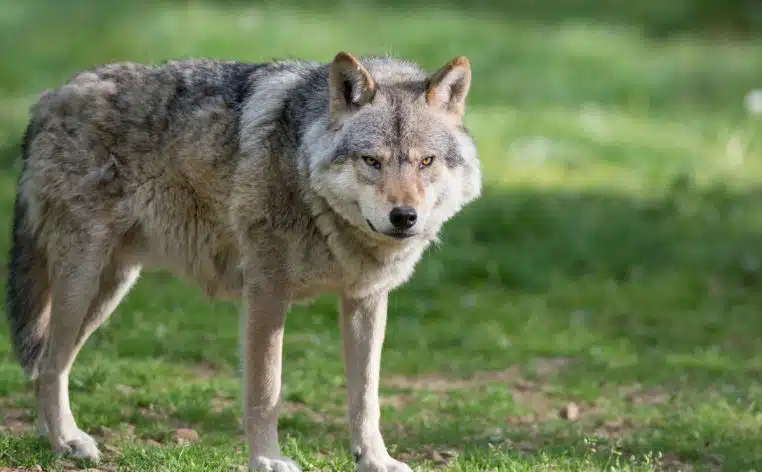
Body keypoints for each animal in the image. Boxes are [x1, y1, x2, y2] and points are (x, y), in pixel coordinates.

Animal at [5, 50, 481, 471]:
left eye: (425, 161)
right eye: (372, 161)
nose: (404, 217)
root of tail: (50, 97)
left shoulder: (365, 300)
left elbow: (366, 397)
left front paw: (375, 460)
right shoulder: (266, 293)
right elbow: (266, 390)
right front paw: (268, 459)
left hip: (110, 289)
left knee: (47, 364)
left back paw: (55, 440)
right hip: (82, 284)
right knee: (50, 362)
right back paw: (66, 441)